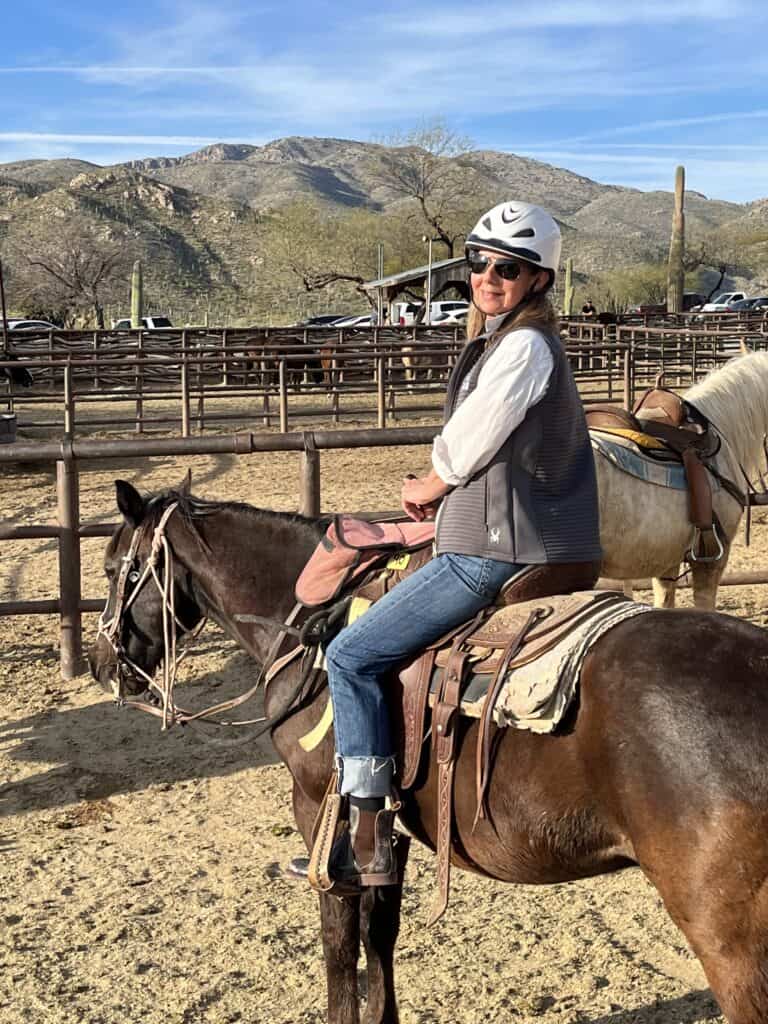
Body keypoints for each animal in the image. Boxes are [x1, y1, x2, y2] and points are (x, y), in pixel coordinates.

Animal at [90, 481, 768, 1024]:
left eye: (115, 569)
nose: (103, 666)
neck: (312, 622)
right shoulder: (385, 823)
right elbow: (380, 929)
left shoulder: (319, 809)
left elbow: (339, 935)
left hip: (732, 941)